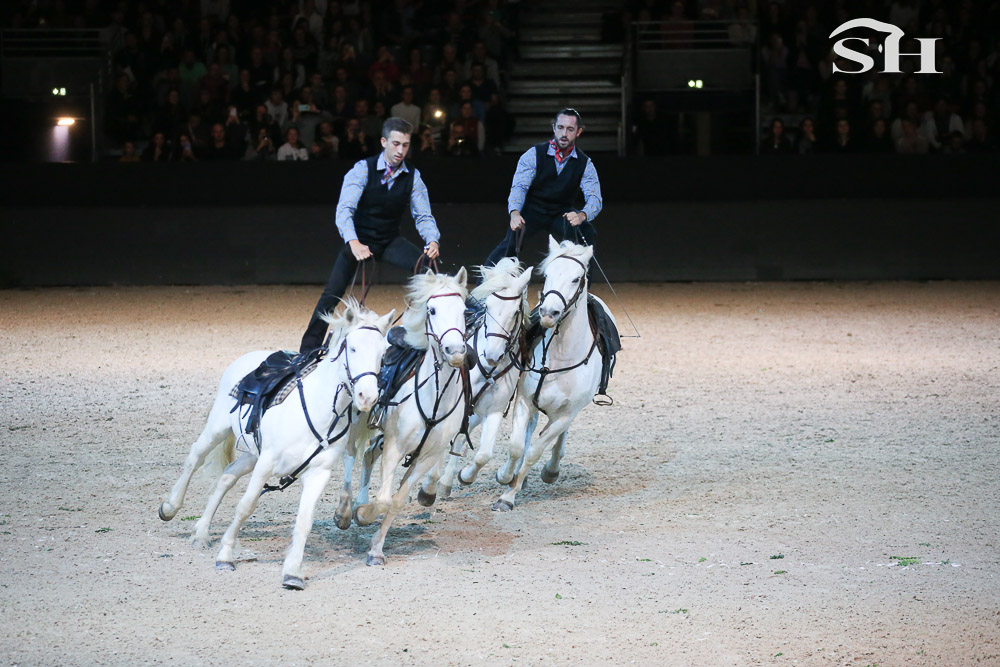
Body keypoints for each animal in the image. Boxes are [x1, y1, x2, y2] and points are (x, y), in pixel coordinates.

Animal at [158, 300, 394, 589]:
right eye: (352, 348)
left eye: (383, 353)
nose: (367, 396)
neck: (316, 409)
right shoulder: (267, 463)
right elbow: (246, 506)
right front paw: (225, 556)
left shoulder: (318, 473)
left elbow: (304, 520)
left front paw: (292, 572)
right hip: (218, 428)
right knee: (195, 458)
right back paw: (170, 507)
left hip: (251, 453)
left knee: (227, 476)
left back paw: (201, 532)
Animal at [351, 268, 470, 566]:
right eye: (432, 309)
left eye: (464, 310)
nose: (455, 351)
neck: (435, 397)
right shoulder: (396, 446)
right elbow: (383, 498)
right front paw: (362, 514)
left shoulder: (426, 457)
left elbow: (396, 500)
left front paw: (376, 549)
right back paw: (351, 508)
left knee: (369, 453)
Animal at [423, 257, 533, 499]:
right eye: (488, 307)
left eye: (515, 312)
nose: (492, 355)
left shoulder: (493, 411)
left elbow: (483, 454)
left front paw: (465, 476)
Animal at [492, 236, 615, 511]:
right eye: (547, 274)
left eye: (576, 278)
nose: (549, 313)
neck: (559, 357)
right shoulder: (525, 401)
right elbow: (517, 446)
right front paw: (506, 477)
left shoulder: (566, 414)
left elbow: (534, 451)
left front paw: (508, 496)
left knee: (557, 439)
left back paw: (551, 470)